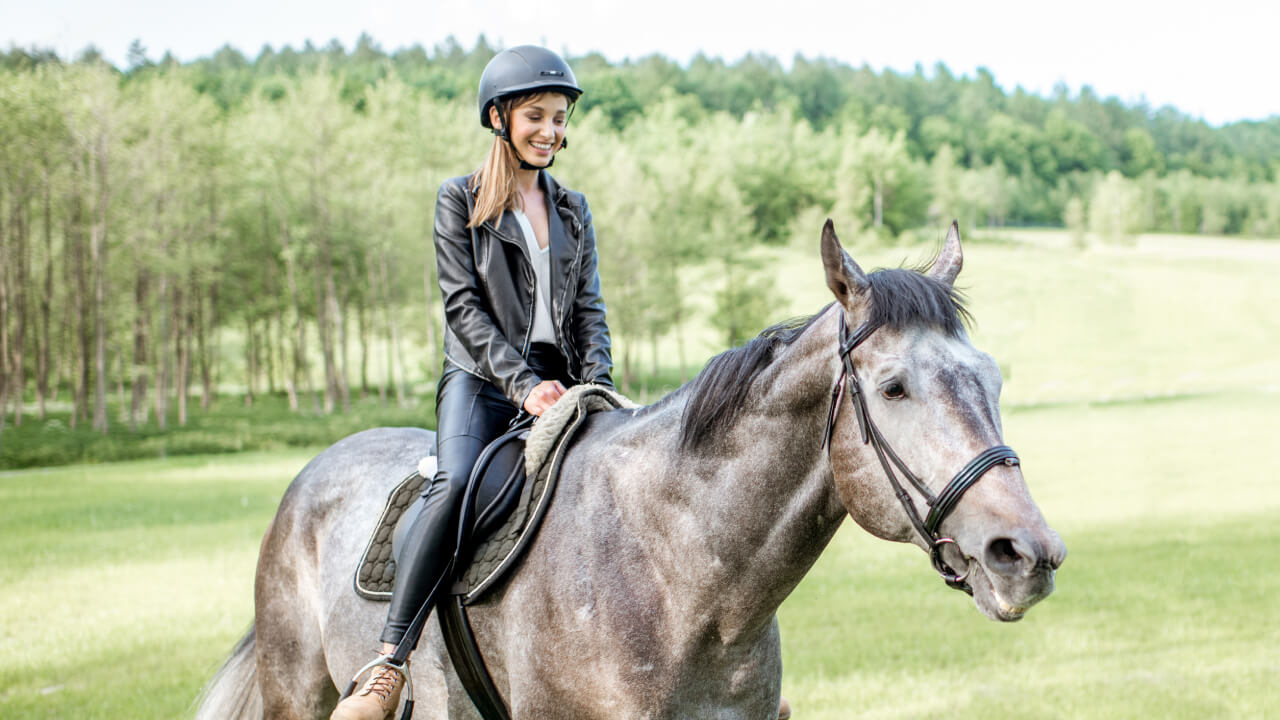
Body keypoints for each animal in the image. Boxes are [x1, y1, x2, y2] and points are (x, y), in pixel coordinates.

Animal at [194, 220, 1066, 720]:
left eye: (990, 379)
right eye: (893, 388)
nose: (1025, 554)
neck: (680, 581)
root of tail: (308, 478)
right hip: (297, 694)